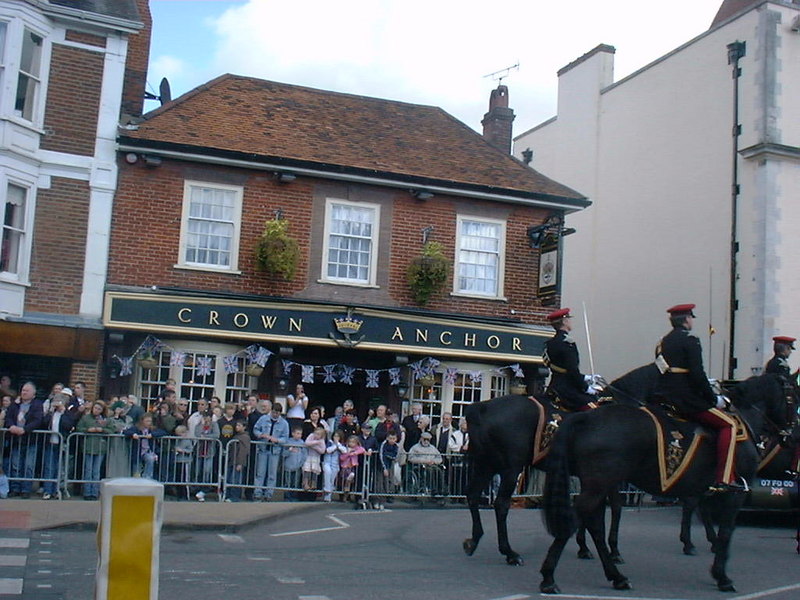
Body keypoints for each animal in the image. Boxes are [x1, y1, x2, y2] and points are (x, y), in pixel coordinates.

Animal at [536, 372, 780, 592]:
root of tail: (586, 418)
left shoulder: (699, 487)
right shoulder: (733, 493)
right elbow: (725, 530)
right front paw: (721, 575)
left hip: (597, 484)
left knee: (592, 523)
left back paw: (615, 576)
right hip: (597, 484)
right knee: (577, 519)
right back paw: (549, 577)